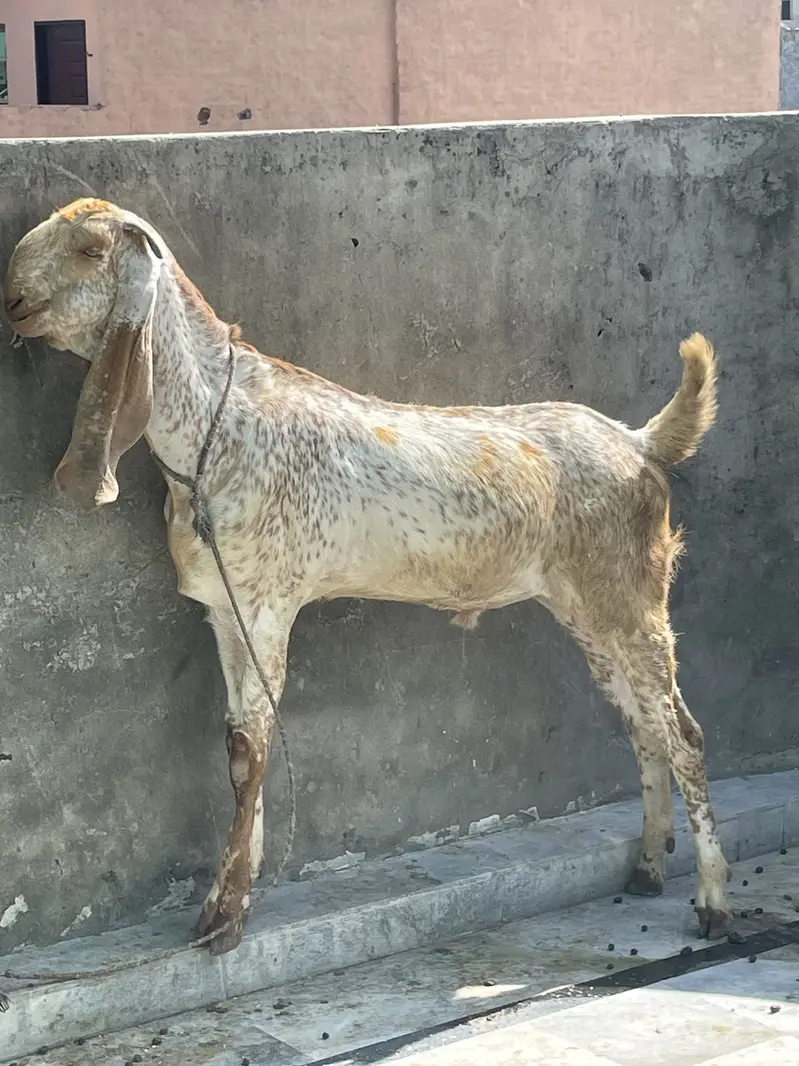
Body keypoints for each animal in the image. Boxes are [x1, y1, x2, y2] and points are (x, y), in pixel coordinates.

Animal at [3, 198, 731, 955]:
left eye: (90, 250)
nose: (13, 301)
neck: (216, 426)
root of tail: (639, 443)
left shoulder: (269, 602)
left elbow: (253, 748)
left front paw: (223, 917)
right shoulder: (226, 608)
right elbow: (237, 744)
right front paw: (234, 896)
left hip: (632, 594)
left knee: (683, 733)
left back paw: (713, 903)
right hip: (586, 607)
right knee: (643, 724)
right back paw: (648, 868)